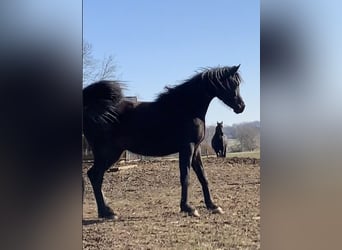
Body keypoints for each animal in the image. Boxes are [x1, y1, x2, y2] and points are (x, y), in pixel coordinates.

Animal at [82, 65, 244, 219]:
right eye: (233, 83)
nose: (241, 107)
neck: (187, 107)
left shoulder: (196, 149)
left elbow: (203, 177)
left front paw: (212, 206)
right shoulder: (187, 147)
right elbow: (185, 177)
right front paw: (188, 208)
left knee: (95, 177)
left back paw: (105, 212)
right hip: (108, 153)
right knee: (95, 176)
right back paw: (107, 212)